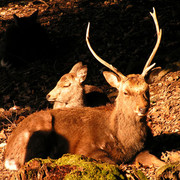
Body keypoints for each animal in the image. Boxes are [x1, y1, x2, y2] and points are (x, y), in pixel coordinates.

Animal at [4, 7, 165, 170]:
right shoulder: (85, 148)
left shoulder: (144, 149)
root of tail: (7, 154)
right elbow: (114, 163)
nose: (143, 108)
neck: (125, 142)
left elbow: (159, 161)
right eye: (125, 92)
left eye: (146, 89)